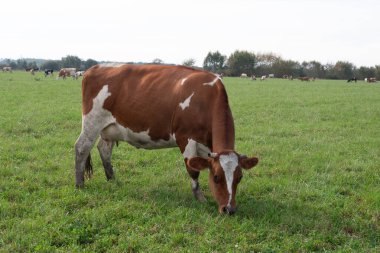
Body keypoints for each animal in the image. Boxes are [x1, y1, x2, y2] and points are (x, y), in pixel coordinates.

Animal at [74, 64, 258, 214]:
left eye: (239, 177)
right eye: (217, 177)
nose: (229, 209)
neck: (205, 100)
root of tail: (94, 68)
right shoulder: (185, 137)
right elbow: (193, 170)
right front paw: (200, 198)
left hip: (109, 129)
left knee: (104, 150)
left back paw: (112, 179)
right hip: (92, 121)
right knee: (81, 148)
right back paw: (80, 184)